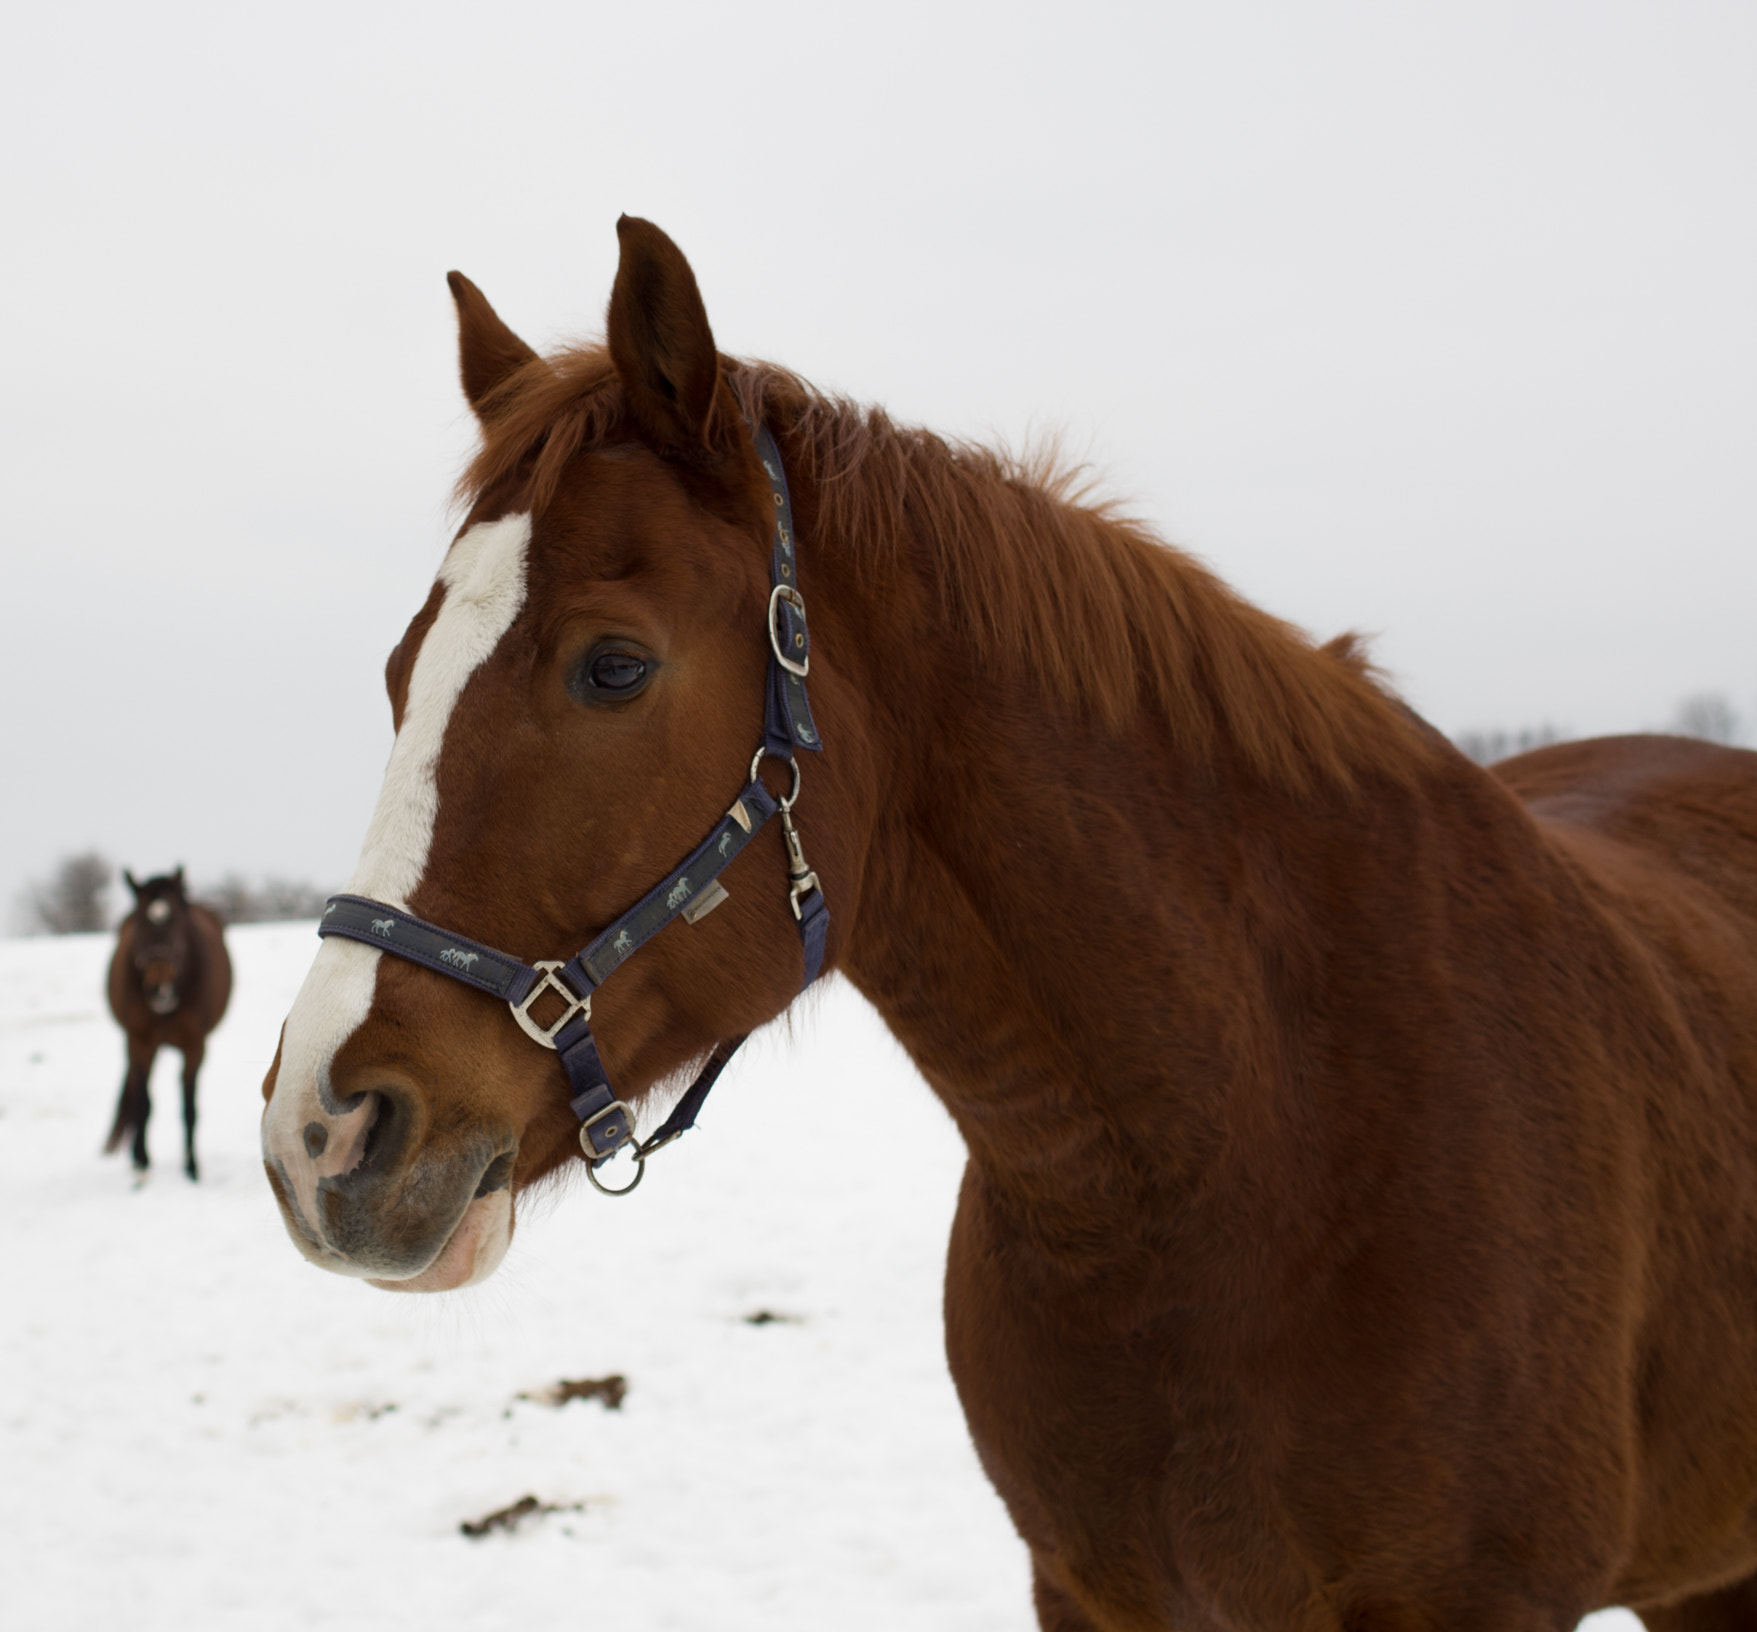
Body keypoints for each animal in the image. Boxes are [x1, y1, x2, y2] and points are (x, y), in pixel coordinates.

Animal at [107, 871, 231, 1180]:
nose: (159, 989)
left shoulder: (194, 1047)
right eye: (140, 924)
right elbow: (144, 1103)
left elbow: (189, 1108)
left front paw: (191, 1167)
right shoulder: (139, 1042)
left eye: (176, 923)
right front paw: (142, 1161)